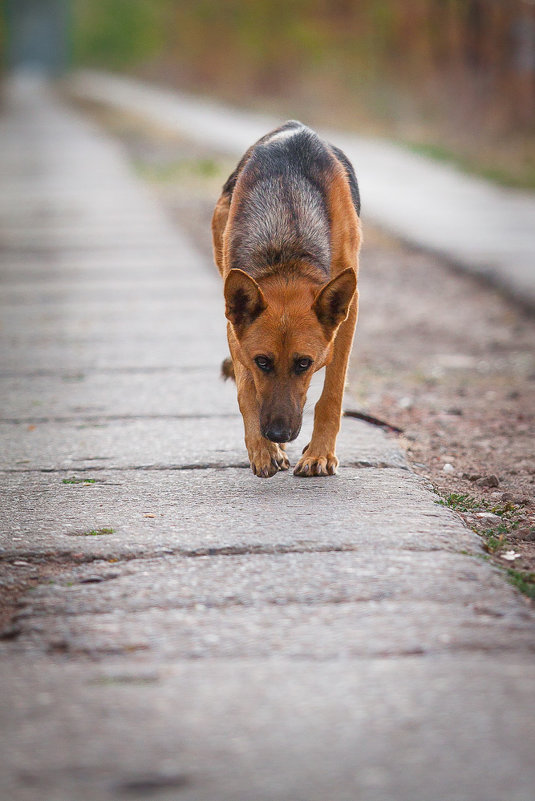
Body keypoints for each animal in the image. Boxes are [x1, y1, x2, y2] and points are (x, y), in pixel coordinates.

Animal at [211, 120, 362, 476]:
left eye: (304, 363)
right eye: (262, 362)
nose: (278, 433)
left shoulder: (348, 315)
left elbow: (332, 394)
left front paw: (319, 453)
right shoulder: (235, 330)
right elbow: (247, 391)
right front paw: (263, 449)